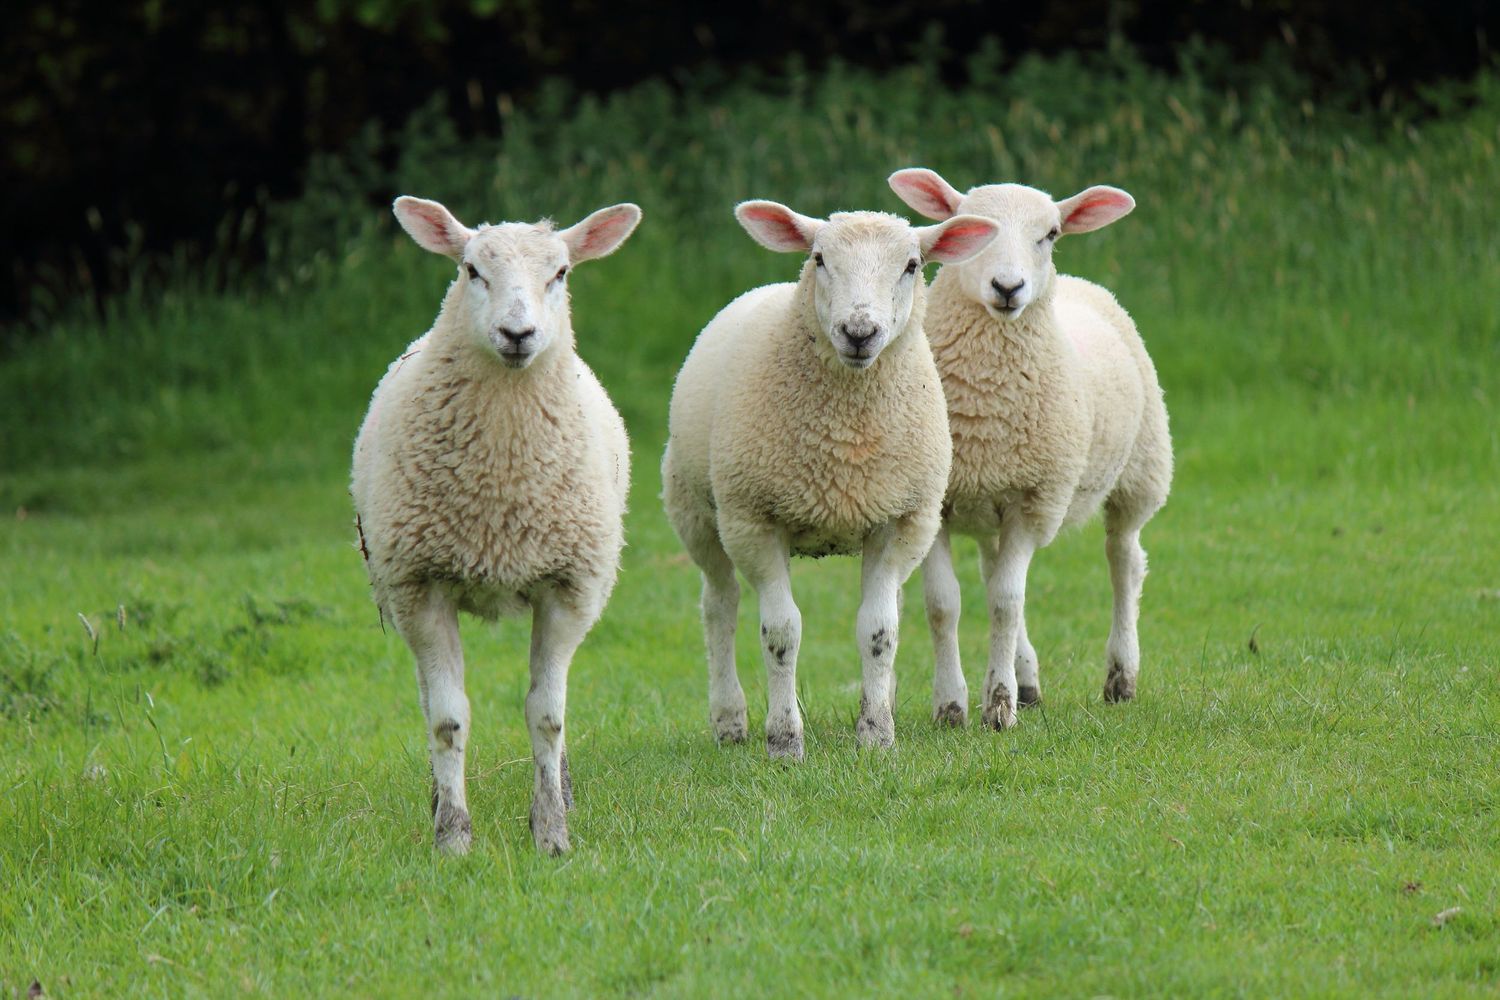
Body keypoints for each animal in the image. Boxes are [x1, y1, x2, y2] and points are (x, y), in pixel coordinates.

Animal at [350, 195, 640, 855]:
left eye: (561, 273)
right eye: (471, 270)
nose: (517, 334)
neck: (500, 490)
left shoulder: (567, 588)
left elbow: (546, 715)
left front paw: (551, 830)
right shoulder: (422, 585)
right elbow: (447, 718)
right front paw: (453, 837)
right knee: (428, 694)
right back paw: (438, 798)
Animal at [661, 200, 1000, 758]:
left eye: (912, 265)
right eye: (819, 258)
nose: (859, 333)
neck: (846, 443)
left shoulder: (901, 521)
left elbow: (879, 630)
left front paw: (876, 734)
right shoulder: (755, 520)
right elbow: (781, 632)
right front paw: (784, 741)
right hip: (697, 513)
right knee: (720, 608)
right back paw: (730, 720)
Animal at [887, 168, 1173, 730]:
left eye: (1051, 234)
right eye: (971, 227)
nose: (1008, 288)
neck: (985, 409)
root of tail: (1084, 284)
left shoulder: (1033, 498)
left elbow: (1005, 601)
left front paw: (998, 707)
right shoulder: (939, 502)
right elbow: (945, 603)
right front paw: (952, 705)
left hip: (1141, 470)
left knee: (1124, 560)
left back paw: (1120, 677)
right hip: (988, 505)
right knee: (994, 570)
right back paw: (1030, 683)